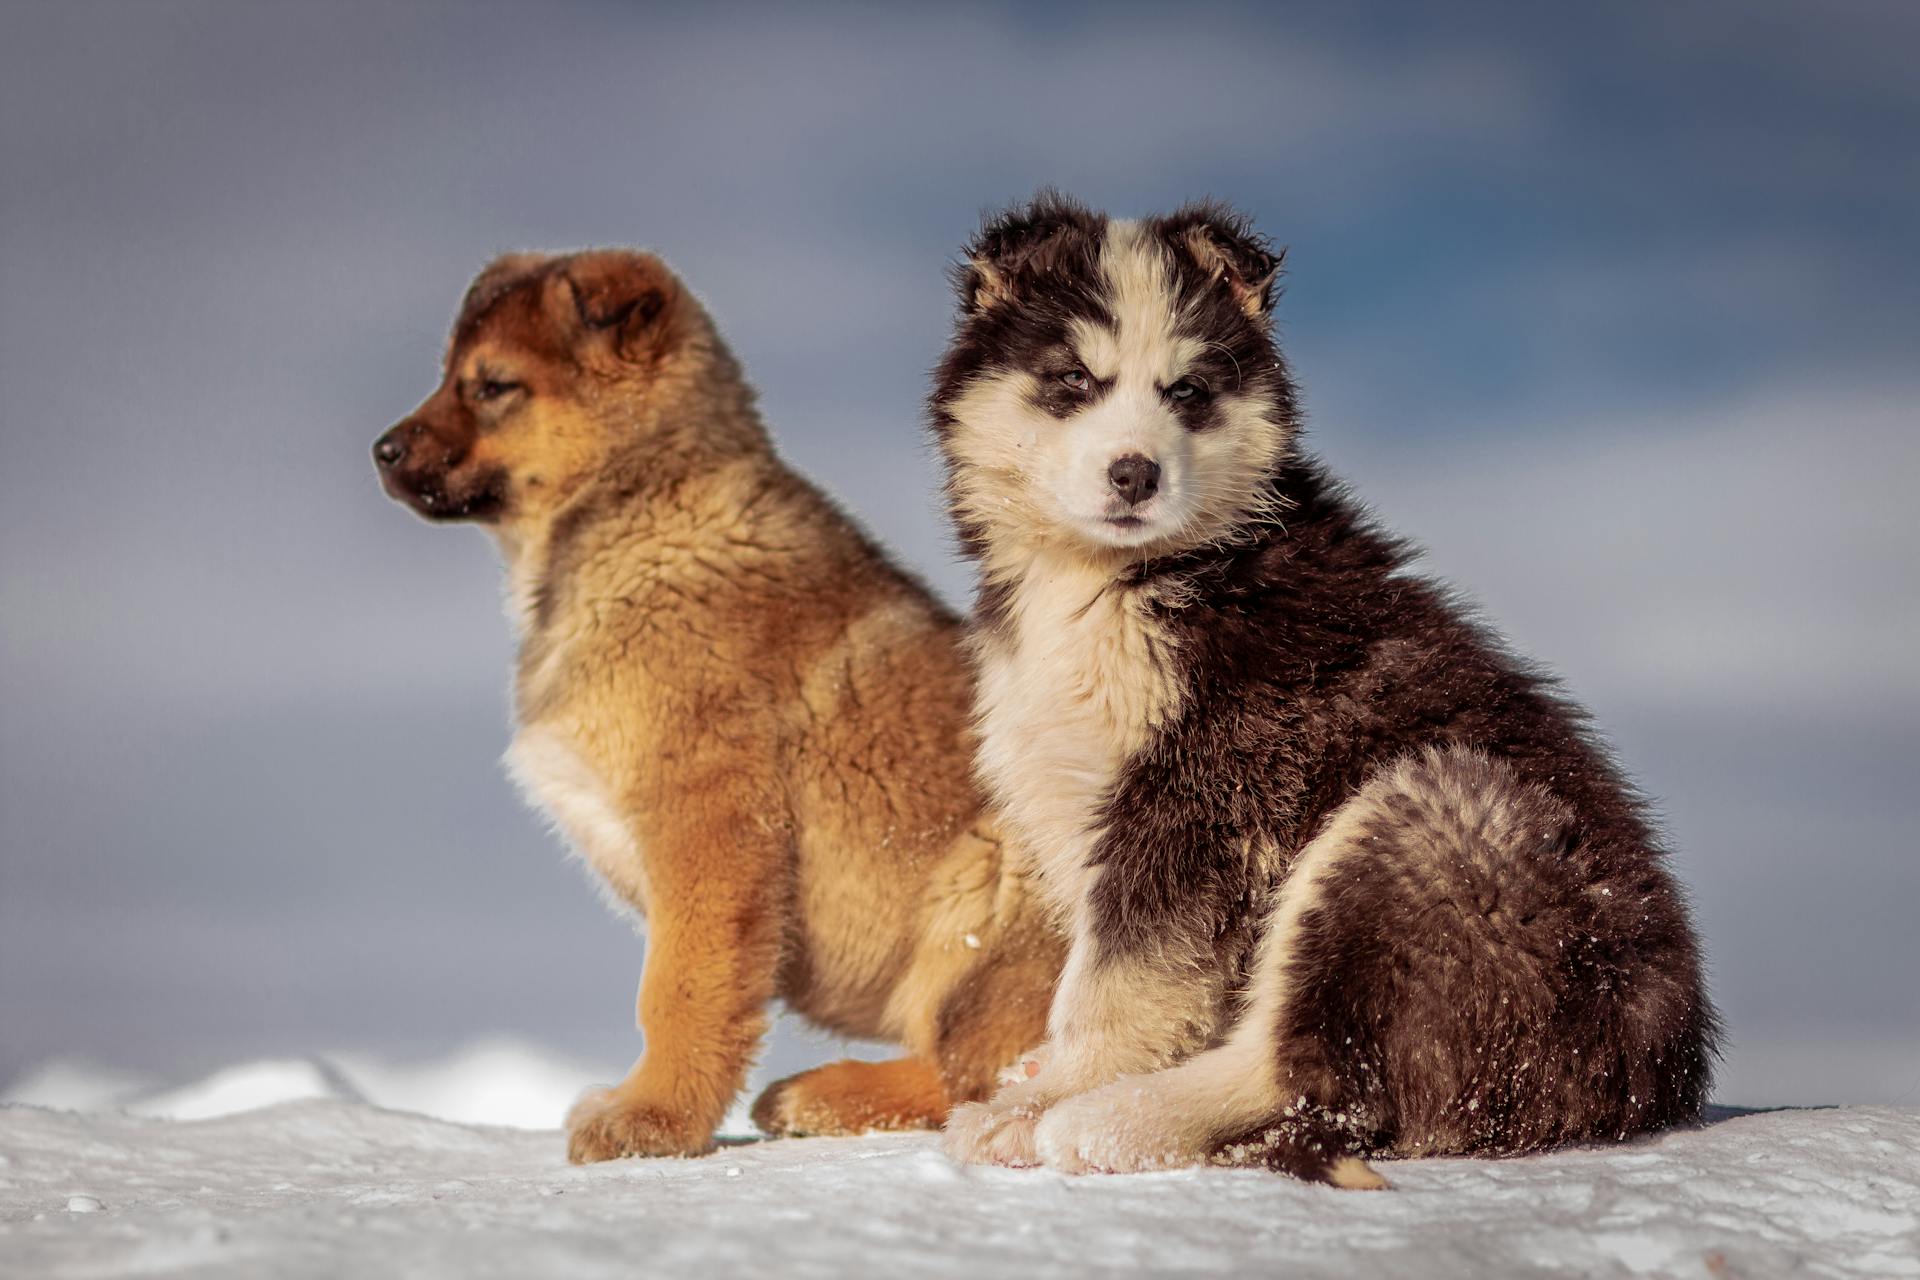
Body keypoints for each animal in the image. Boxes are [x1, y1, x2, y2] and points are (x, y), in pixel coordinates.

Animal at [374, 247, 1067, 1159]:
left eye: (492, 386)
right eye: (448, 375)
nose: (381, 451)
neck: (639, 515)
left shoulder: (710, 821)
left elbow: (680, 989)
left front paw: (651, 1120)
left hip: (996, 892)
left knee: (988, 1073)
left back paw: (824, 1094)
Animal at [936, 195, 1720, 1189]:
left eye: (1187, 391)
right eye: (1073, 378)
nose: (1134, 473)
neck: (1122, 578)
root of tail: (1651, 1077)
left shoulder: (1203, 797)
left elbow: (1121, 980)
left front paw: (1052, 1093)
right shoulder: (1075, 787)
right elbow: (1106, 968)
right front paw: (1043, 1072)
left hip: (1434, 825)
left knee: (1317, 1073)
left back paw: (1100, 1119)